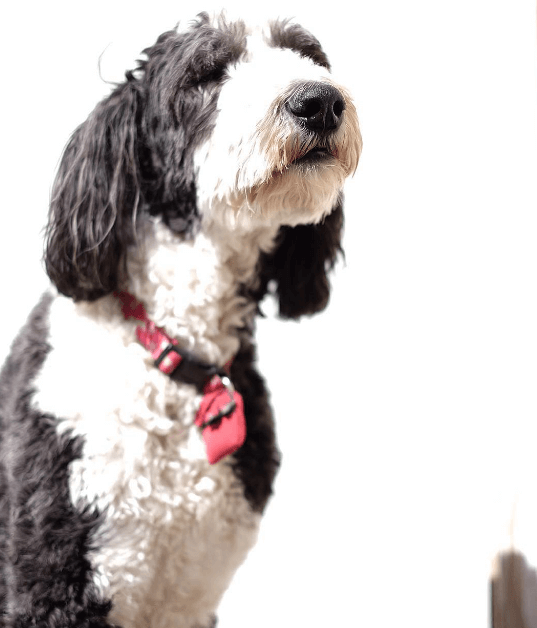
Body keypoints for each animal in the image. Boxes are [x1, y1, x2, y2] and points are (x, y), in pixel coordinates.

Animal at [0, 11, 362, 628]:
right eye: (207, 75)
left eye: (309, 58)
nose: (319, 101)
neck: (175, 355)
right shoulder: (54, 584)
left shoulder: (191, 595)